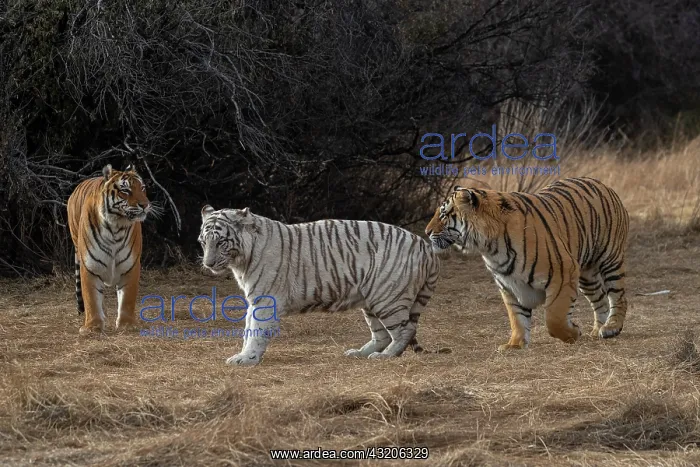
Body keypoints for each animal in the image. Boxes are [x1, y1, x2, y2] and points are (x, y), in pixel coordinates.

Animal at [66, 164, 151, 336]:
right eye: (125, 190)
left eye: (142, 188)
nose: (145, 205)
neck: (116, 227)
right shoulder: (90, 265)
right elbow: (91, 297)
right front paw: (93, 326)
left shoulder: (131, 265)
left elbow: (127, 297)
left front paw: (127, 325)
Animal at [198, 206, 441, 366]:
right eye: (203, 242)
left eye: (221, 242)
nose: (208, 264)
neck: (241, 260)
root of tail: (425, 247)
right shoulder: (254, 299)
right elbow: (248, 328)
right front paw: (244, 355)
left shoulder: (265, 300)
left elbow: (257, 331)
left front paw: (247, 358)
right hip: (372, 299)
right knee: (382, 335)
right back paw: (359, 353)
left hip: (387, 297)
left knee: (405, 330)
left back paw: (385, 356)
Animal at [425, 177, 629, 350]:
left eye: (443, 214)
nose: (426, 232)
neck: (490, 248)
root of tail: (603, 185)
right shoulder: (509, 284)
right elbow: (516, 317)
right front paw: (515, 344)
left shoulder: (563, 272)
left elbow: (554, 318)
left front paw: (573, 333)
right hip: (587, 274)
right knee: (600, 299)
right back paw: (598, 330)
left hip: (610, 259)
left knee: (618, 296)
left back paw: (611, 327)